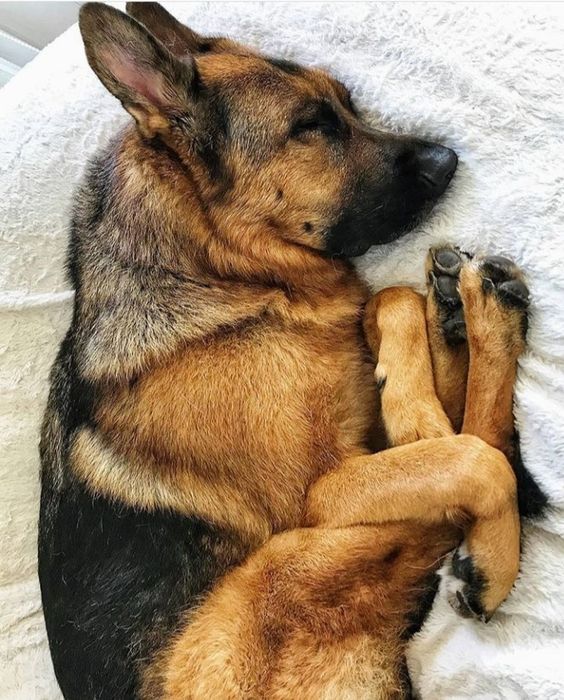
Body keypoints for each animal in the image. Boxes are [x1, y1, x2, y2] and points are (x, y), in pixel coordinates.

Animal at [38, 2, 548, 696]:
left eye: (348, 104)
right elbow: (471, 460)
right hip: (285, 566)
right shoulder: (322, 492)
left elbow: (389, 300)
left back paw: (465, 308)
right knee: (483, 458)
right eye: (310, 127)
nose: (448, 160)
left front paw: (411, 380)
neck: (227, 276)